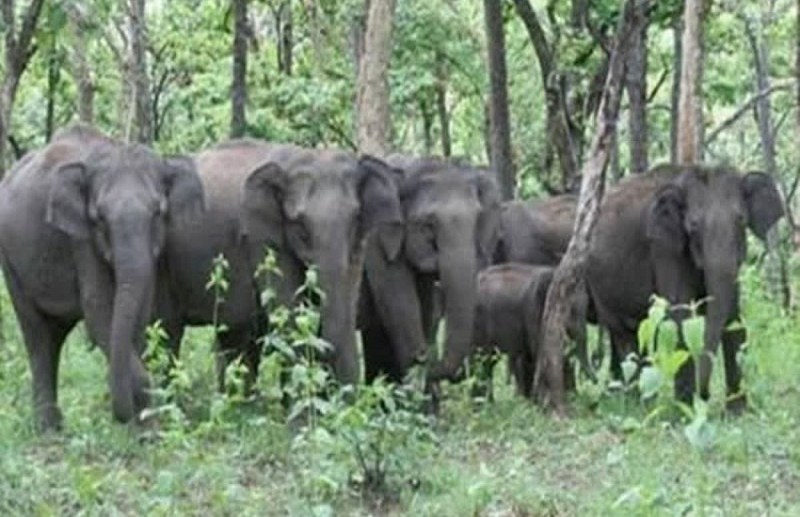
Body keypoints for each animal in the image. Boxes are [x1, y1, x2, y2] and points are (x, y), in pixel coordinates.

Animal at [0, 124, 205, 430]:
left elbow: (139, 313)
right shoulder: (81, 240)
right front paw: (148, 427)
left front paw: (139, 427)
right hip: (11, 263)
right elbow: (99, 315)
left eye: (158, 213)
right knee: (37, 335)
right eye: (99, 218)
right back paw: (49, 431)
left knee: (54, 335)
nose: (121, 417)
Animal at [158, 139, 403, 388]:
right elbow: (290, 322)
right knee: (168, 332)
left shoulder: (358, 245)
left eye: (355, 219)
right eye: (301, 227)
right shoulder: (263, 239)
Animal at [358, 156, 502, 387]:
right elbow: (402, 308)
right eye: (428, 223)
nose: (429, 358)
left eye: (478, 218)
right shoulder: (377, 241)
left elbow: (423, 310)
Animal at [471, 263, 589, 400]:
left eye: (586, 307)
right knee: (482, 360)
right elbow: (538, 351)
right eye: (571, 311)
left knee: (487, 361)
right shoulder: (533, 311)